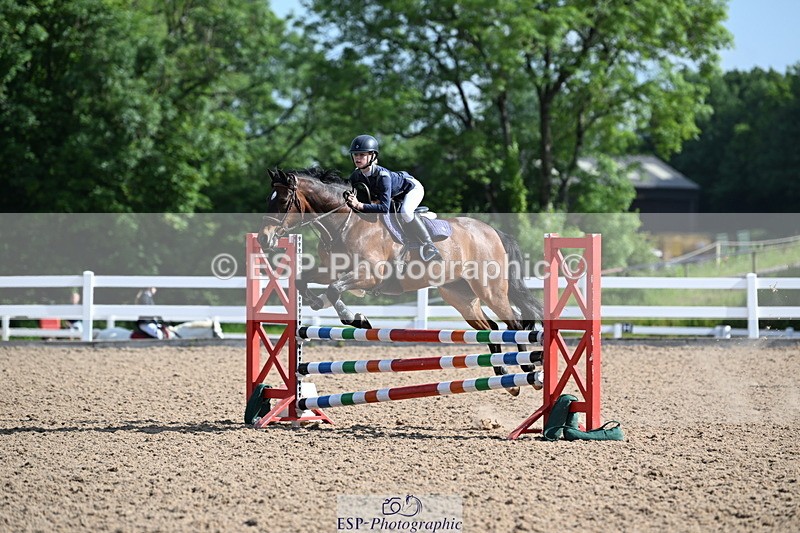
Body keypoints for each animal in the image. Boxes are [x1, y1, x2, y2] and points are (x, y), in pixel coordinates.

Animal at [258, 168, 542, 391]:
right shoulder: (332, 269)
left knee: (516, 324)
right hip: (460, 295)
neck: (345, 224)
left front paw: (355, 318)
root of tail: (492, 232)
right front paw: (319, 304)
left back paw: (530, 369)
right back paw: (505, 377)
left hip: (490, 290)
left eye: (283, 200)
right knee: (490, 328)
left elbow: (334, 289)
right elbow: (304, 281)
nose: (263, 239)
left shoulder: (370, 274)